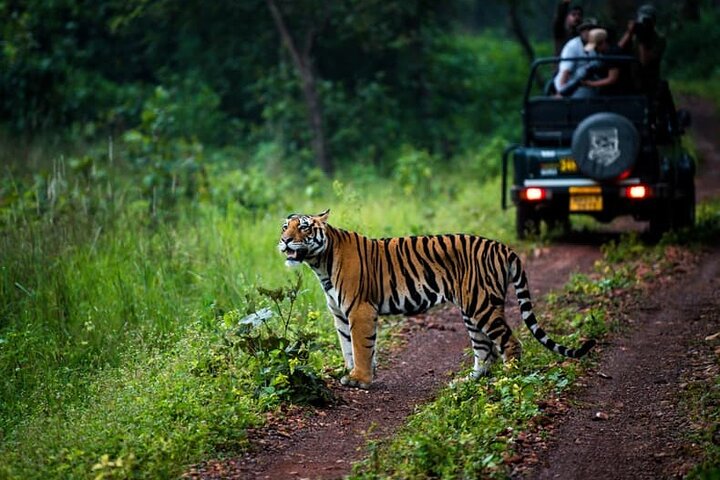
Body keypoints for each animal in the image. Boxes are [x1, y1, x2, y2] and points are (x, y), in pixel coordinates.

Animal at [278, 209, 595, 389]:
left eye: (304, 227)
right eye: (285, 226)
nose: (284, 240)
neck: (320, 264)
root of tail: (503, 247)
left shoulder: (360, 310)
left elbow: (361, 346)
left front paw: (361, 379)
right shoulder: (340, 314)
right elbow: (347, 347)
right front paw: (349, 372)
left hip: (482, 305)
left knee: (509, 343)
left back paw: (509, 377)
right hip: (471, 309)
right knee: (485, 351)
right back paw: (467, 382)